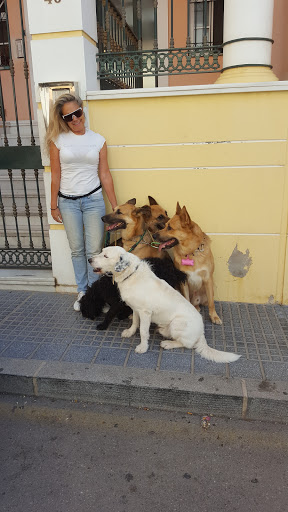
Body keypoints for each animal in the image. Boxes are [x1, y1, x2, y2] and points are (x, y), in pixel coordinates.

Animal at [89, 248, 241, 364]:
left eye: (105, 255)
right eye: (101, 251)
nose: (89, 260)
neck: (130, 275)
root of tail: (201, 332)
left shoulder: (145, 312)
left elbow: (143, 331)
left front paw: (143, 347)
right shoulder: (136, 309)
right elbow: (135, 322)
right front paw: (130, 332)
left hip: (177, 323)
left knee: (187, 344)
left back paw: (168, 344)